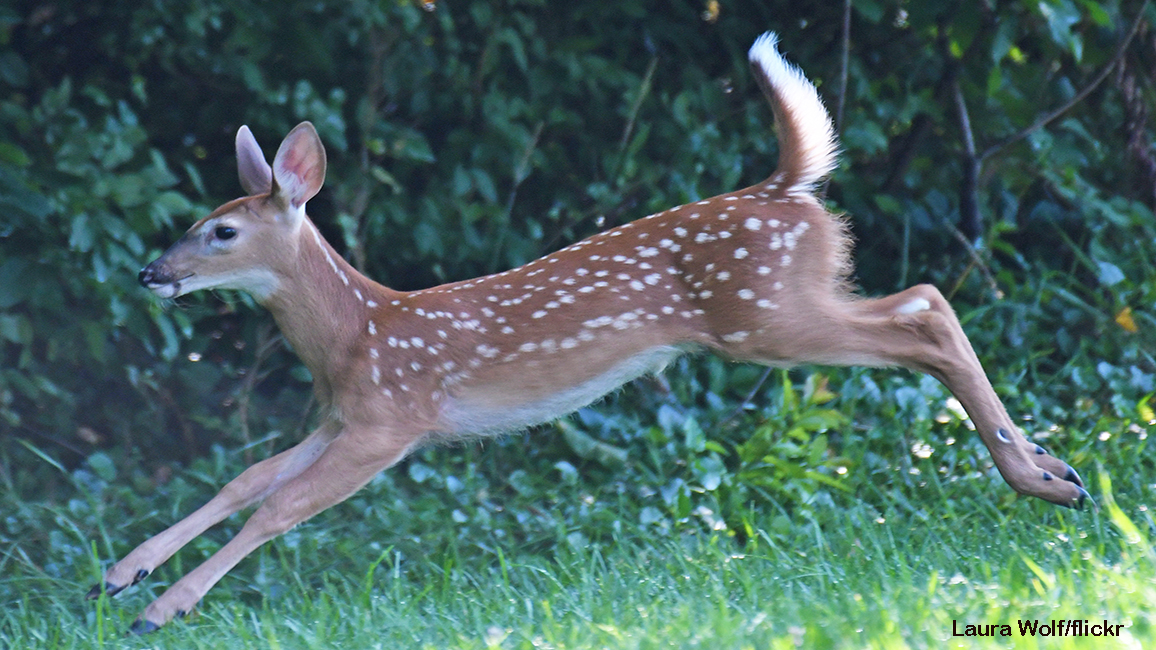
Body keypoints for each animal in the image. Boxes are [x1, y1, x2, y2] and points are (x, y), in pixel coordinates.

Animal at [90, 32, 1082, 629]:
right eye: (198, 219)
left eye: (221, 231)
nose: (151, 273)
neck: (354, 335)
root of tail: (786, 186)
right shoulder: (338, 415)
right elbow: (245, 479)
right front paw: (123, 573)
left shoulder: (391, 419)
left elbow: (283, 508)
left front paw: (163, 607)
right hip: (783, 308)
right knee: (925, 298)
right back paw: (1050, 465)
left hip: (766, 316)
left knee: (927, 309)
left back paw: (1043, 477)